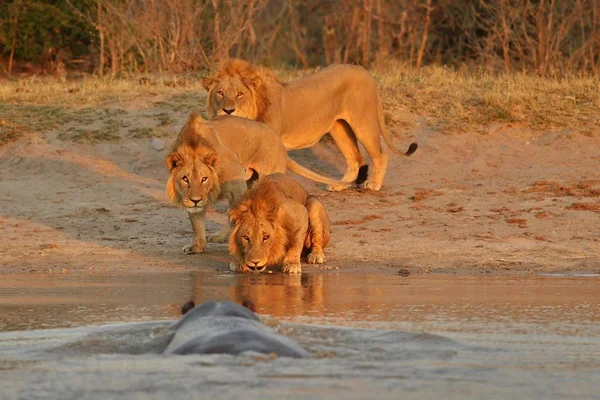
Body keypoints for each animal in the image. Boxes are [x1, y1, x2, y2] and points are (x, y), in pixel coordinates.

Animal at [166, 112, 350, 253]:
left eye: (204, 178)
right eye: (185, 179)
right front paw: (196, 247)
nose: (195, 200)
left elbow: (234, 213)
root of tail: (278, 140)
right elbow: (196, 223)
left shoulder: (237, 180)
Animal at [202, 57, 418, 192]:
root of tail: (364, 71)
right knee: (354, 159)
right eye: (220, 93)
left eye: (240, 94)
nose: (228, 110)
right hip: (339, 129)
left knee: (380, 154)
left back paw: (373, 184)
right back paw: (341, 185)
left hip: (363, 123)